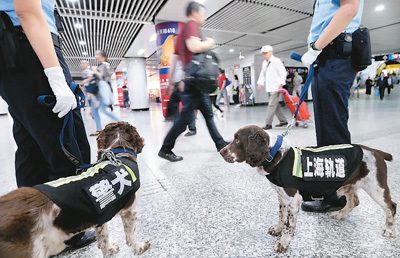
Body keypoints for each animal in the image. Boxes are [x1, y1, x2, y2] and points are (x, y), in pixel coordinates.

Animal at [0, 121, 150, 258]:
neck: (118, 153)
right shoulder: (130, 210)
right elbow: (131, 234)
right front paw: (140, 247)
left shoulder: (102, 213)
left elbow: (103, 237)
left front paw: (110, 250)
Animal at [219, 126, 396, 253]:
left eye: (237, 140)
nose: (221, 152)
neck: (276, 155)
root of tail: (377, 152)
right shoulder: (281, 196)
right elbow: (281, 215)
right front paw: (277, 229)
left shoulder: (293, 199)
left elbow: (289, 225)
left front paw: (283, 244)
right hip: (349, 184)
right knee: (354, 201)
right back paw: (340, 214)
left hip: (376, 187)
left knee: (391, 206)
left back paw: (389, 229)